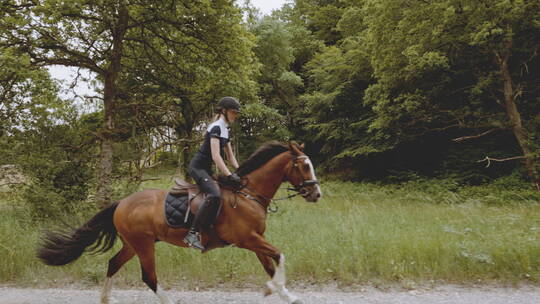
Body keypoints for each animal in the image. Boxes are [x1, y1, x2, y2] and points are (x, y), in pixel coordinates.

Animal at [39, 142, 324, 304]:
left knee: (113, 264)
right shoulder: (248, 239)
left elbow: (271, 265)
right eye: (304, 166)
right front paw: (279, 291)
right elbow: (280, 256)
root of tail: (121, 203)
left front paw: (282, 293)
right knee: (149, 277)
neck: (248, 194)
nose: (316, 194)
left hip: (133, 244)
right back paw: (169, 301)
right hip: (144, 245)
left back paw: (106, 299)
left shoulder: (255, 240)